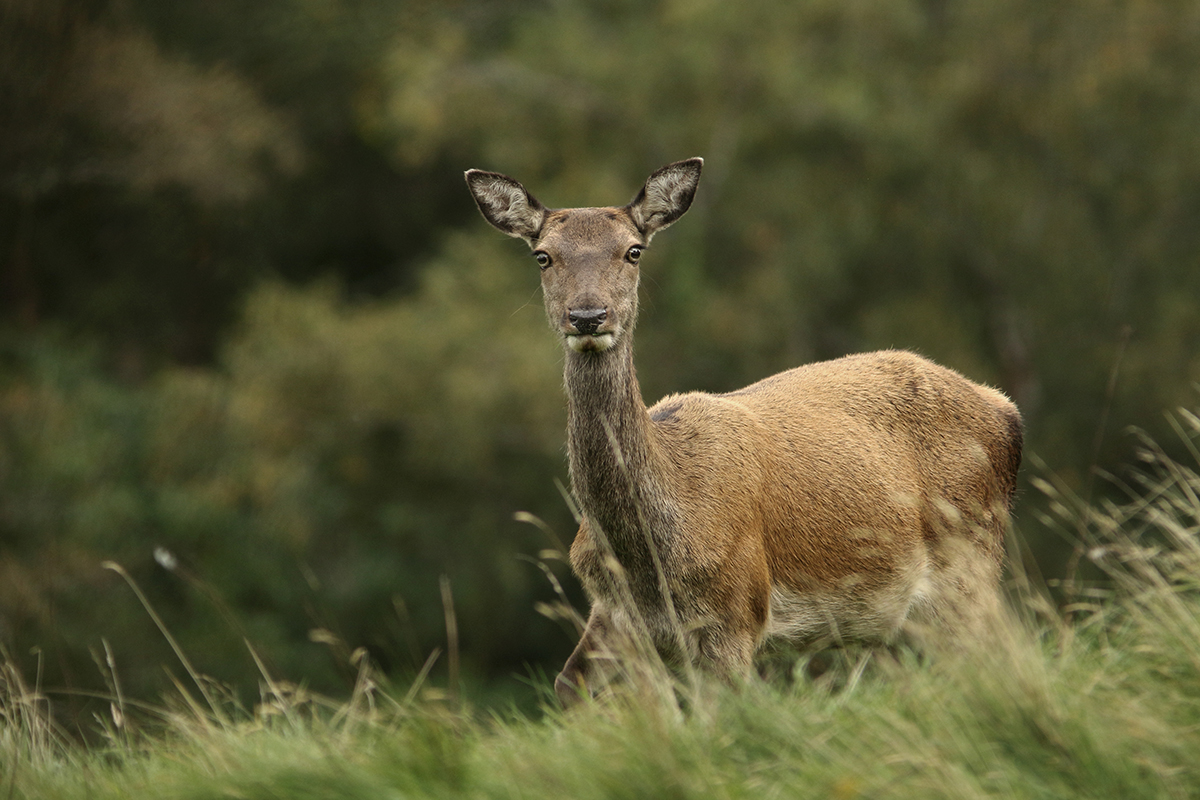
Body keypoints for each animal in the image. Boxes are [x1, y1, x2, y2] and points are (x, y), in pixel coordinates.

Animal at [465, 155, 1022, 705]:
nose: (587, 315)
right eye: (543, 256)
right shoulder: (614, 616)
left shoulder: (738, 609)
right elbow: (570, 687)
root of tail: (1006, 408)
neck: (650, 555)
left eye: (633, 251)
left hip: (970, 560)